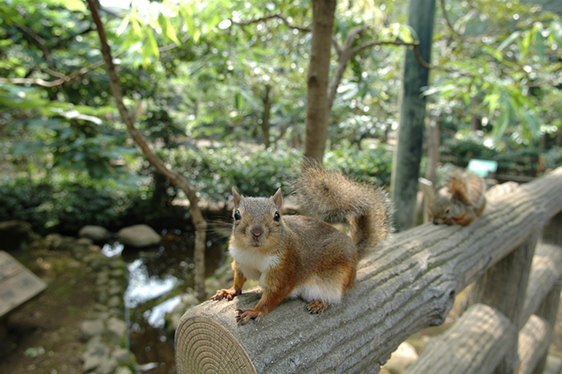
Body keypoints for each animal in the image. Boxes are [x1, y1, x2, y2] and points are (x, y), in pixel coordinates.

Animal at [210, 163, 390, 324]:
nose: (256, 233)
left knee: (337, 295)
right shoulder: (241, 261)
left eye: (277, 216)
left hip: (338, 278)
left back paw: (321, 302)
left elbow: (274, 294)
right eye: (236, 214)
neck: (255, 252)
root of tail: (355, 251)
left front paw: (255, 311)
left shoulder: (285, 268)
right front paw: (229, 290)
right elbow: (239, 279)